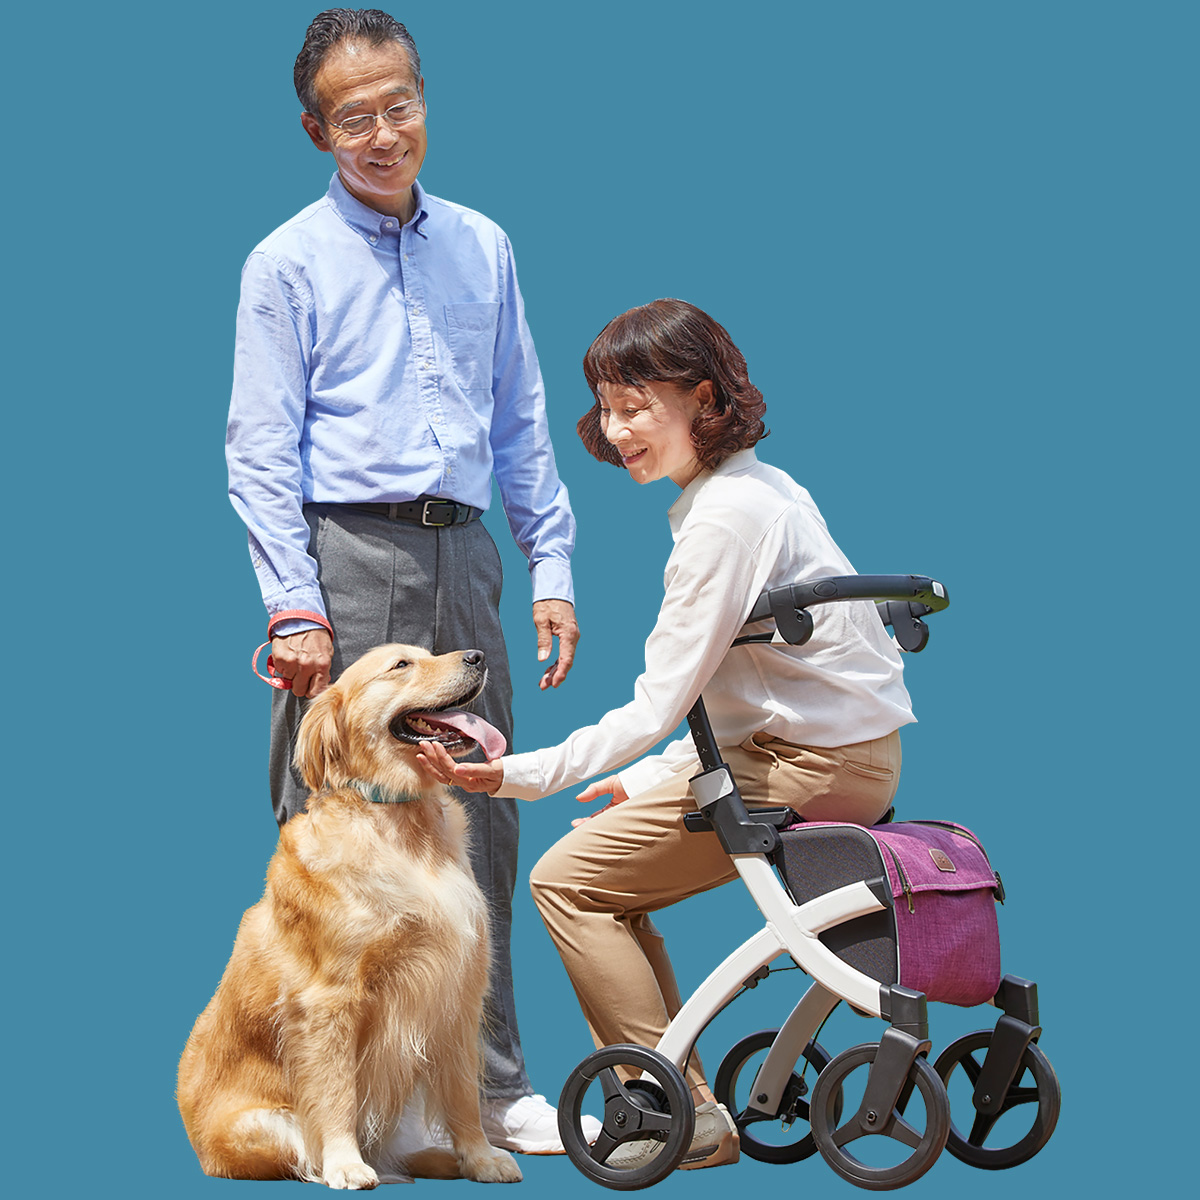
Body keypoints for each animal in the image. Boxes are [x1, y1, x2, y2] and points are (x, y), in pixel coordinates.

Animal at [176, 643, 520, 1185]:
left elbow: (464, 1094)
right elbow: (337, 1093)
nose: (477, 655)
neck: (403, 822)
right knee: (305, 1153)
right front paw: (345, 1163)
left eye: (427, 653)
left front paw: (481, 1156)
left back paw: (439, 1159)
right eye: (401, 665)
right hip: (258, 1127)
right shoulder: (330, 999)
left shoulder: (458, 989)